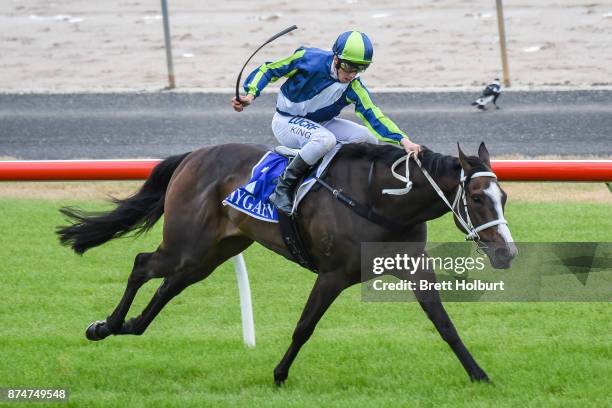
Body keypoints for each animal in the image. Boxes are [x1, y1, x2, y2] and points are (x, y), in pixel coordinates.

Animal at [57, 142, 516, 384]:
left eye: (504, 197)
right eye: (477, 198)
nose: (507, 253)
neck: (380, 200)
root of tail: (191, 157)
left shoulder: (414, 268)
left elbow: (445, 325)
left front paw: (479, 375)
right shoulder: (333, 274)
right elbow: (304, 326)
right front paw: (279, 374)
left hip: (211, 253)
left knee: (169, 286)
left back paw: (128, 326)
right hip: (186, 244)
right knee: (141, 265)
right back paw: (106, 325)